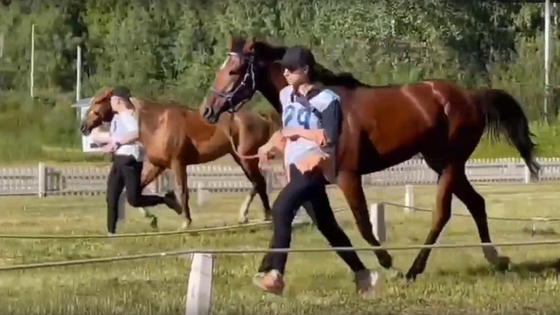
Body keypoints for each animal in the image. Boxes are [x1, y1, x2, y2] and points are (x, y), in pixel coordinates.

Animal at [79, 88, 280, 230]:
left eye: (99, 101)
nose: (83, 127)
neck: (156, 124)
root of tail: (261, 116)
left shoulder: (178, 164)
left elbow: (182, 191)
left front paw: (185, 222)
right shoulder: (158, 166)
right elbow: (138, 192)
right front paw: (151, 217)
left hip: (246, 158)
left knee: (259, 182)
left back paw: (262, 216)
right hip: (239, 157)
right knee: (257, 182)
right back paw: (248, 216)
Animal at [200, 37, 540, 282]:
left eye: (233, 71)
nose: (207, 110)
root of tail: (470, 96)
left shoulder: (349, 176)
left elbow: (363, 224)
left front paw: (388, 264)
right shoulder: (315, 182)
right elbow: (305, 219)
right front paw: (266, 267)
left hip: (451, 164)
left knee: (442, 213)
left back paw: (414, 269)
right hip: (441, 162)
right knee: (476, 203)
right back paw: (496, 258)